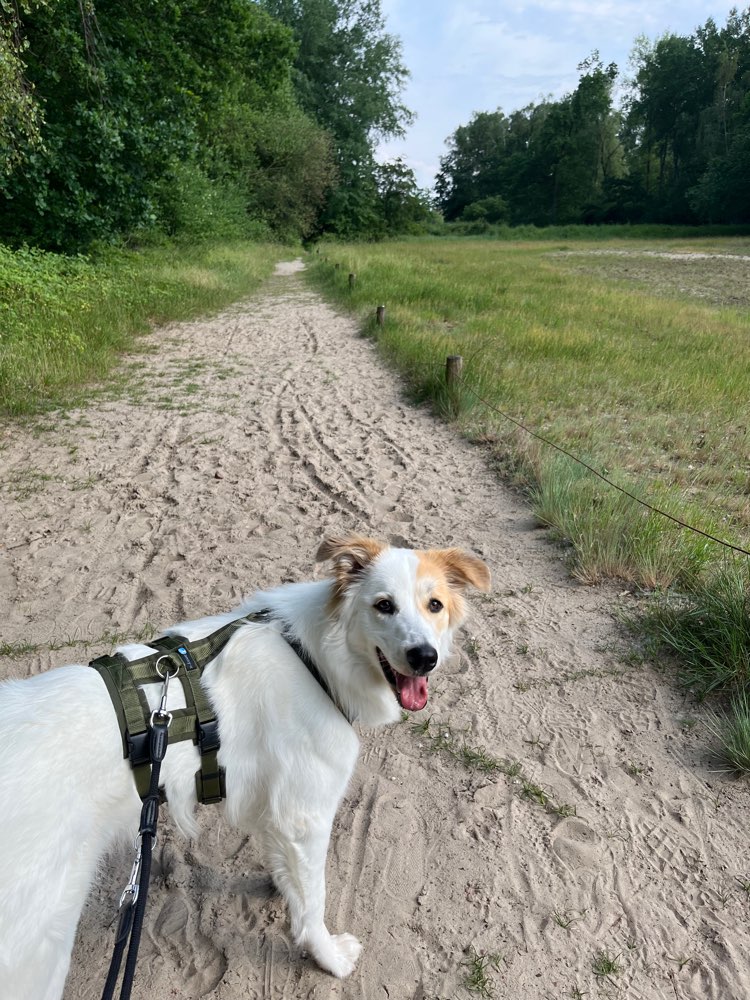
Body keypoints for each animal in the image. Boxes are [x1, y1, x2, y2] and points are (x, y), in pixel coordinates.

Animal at [0, 536, 490, 996]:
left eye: (434, 605)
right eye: (384, 605)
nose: (425, 656)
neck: (313, 656)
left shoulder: (274, 807)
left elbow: (289, 874)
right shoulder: (305, 815)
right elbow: (313, 902)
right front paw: (328, 957)